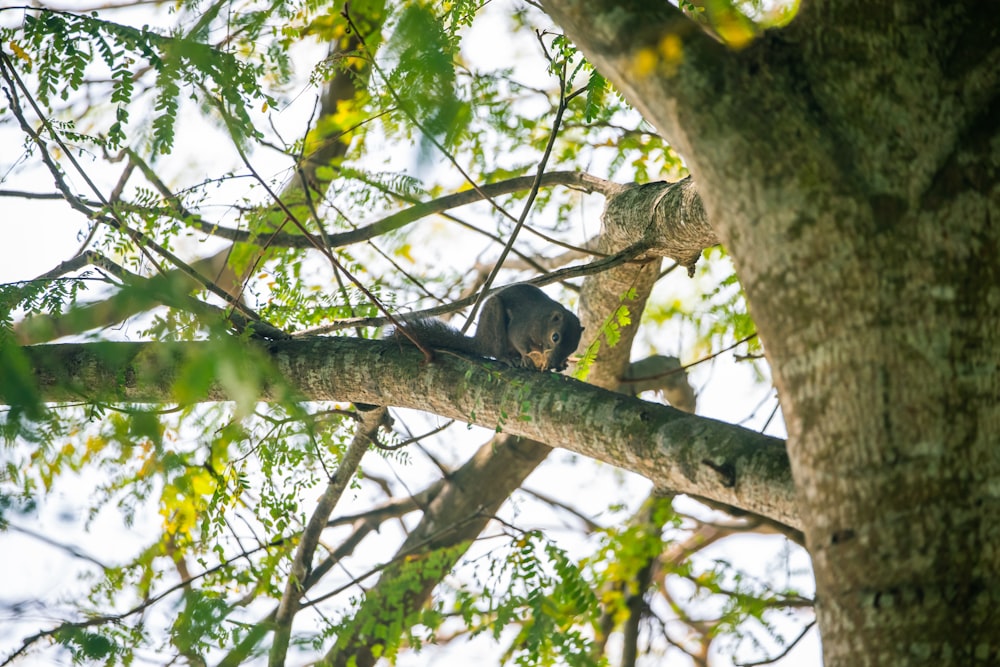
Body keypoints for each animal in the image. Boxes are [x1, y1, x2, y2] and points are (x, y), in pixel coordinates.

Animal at [388, 284, 584, 374]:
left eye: (573, 348)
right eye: (555, 337)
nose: (554, 363)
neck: (544, 322)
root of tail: (479, 340)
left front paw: (561, 364)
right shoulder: (522, 326)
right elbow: (521, 342)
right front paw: (527, 359)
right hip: (494, 321)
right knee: (497, 351)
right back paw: (508, 358)